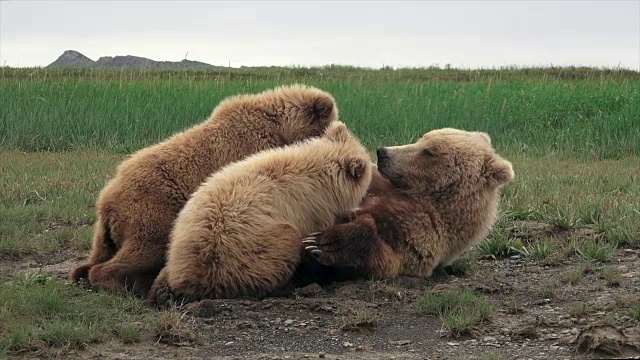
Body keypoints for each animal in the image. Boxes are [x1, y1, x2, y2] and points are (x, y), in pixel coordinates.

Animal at [70, 85, 340, 298]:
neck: (281, 129)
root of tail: (107, 200)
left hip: (106, 233)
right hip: (152, 209)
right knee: (143, 249)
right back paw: (130, 285)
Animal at [300, 128, 516, 280]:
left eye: (428, 151)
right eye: (422, 138)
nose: (382, 152)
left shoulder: (420, 235)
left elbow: (385, 256)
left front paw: (322, 244)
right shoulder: (381, 187)